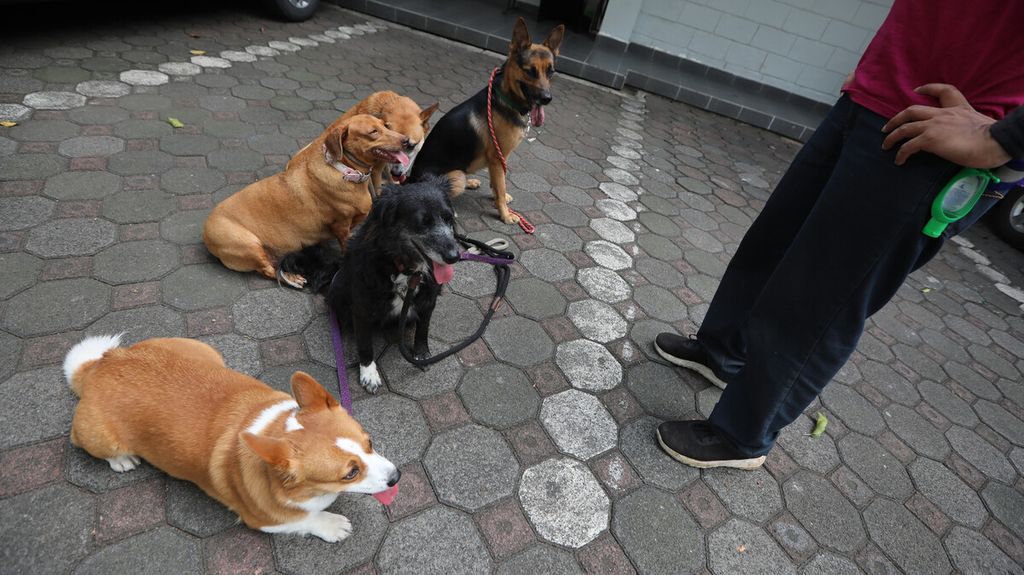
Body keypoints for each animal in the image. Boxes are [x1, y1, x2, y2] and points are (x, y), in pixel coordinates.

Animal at [65, 333, 399, 540]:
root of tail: (100, 365)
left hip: (205, 352)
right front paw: (332, 525)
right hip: (98, 437)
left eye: (370, 443)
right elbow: (304, 520)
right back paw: (122, 461)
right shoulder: (262, 520)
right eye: (351, 472)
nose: (396, 477)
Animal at [201, 112, 405, 286]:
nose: (407, 141)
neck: (345, 172)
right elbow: (345, 245)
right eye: (373, 132)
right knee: (269, 270)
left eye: (385, 125)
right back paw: (291, 278)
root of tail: (205, 235)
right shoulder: (340, 225)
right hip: (249, 245)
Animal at [278, 174, 458, 388]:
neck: (401, 266)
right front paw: (369, 373)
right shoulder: (361, 308)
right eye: (423, 223)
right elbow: (364, 343)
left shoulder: (429, 299)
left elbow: (423, 329)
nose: (455, 256)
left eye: (449, 218)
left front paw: (421, 354)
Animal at [409, 16, 569, 223]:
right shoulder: (497, 158)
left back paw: (471, 182)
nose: (546, 99)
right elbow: (500, 185)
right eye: (530, 71)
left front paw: (499, 200)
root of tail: (410, 180)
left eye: (551, 72)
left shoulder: (499, 160)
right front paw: (505, 215)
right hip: (456, 176)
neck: (507, 99)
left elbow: (497, 184)